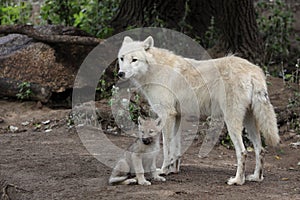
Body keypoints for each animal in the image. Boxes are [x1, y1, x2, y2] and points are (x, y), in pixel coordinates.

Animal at [116, 36, 278, 186]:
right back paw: (256, 177)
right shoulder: (177, 117)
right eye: (122, 58)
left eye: (134, 60)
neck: (155, 70)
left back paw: (237, 181)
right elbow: (176, 150)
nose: (120, 74)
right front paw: (173, 170)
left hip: (232, 122)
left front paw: (162, 170)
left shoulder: (167, 116)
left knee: (243, 152)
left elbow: (167, 148)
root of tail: (254, 70)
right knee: (260, 149)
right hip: (249, 122)